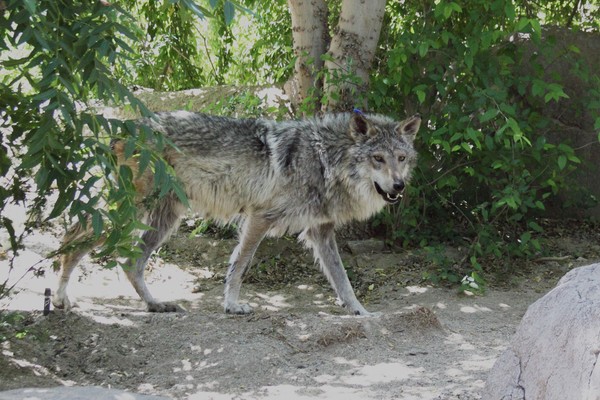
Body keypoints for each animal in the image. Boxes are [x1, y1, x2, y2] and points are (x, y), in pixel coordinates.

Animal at [52, 110, 422, 316]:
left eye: (401, 158)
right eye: (378, 158)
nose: (399, 186)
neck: (323, 160)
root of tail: (120, 130)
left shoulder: (320, 231)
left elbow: (343, 281)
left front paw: (361, 312)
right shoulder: (259, 218)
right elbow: (239, 268)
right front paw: (232, 306)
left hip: (164, 220)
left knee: (131, 263)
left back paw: (155, 305)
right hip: (130, 214)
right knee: (73, 237)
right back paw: (60, 299)